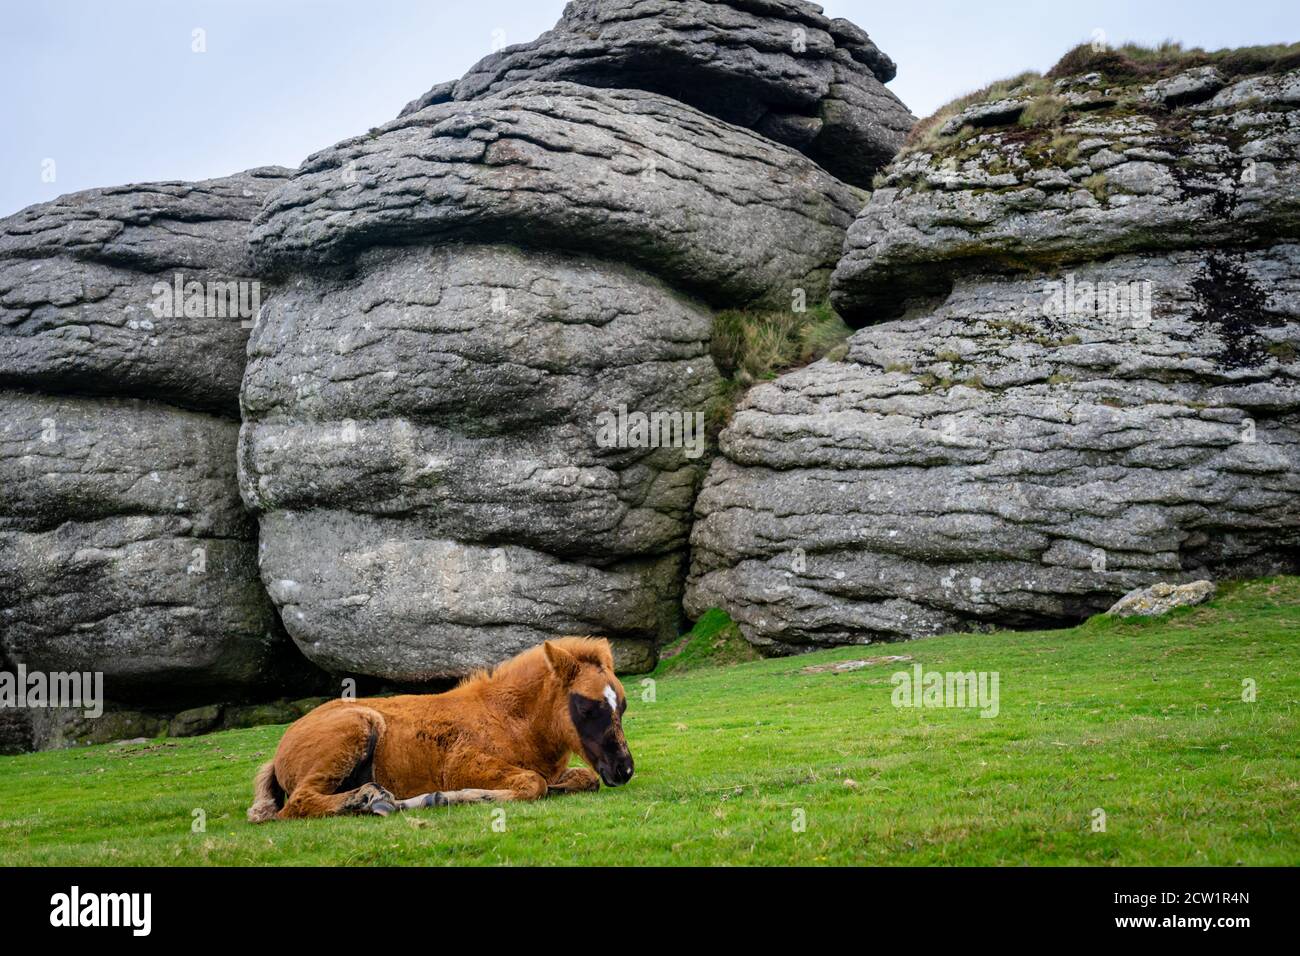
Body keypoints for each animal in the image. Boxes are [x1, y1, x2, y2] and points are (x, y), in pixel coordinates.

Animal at [247, 637, 634, 821]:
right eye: (586, 707)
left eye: (623, 705)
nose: (624, 769)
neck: (511, 720)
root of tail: (279, 751)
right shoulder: (461, 765)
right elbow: (533, 784)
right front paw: (448, 797)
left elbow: (583, 779)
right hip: (357, 727)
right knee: (297, 804)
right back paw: (372, 798)